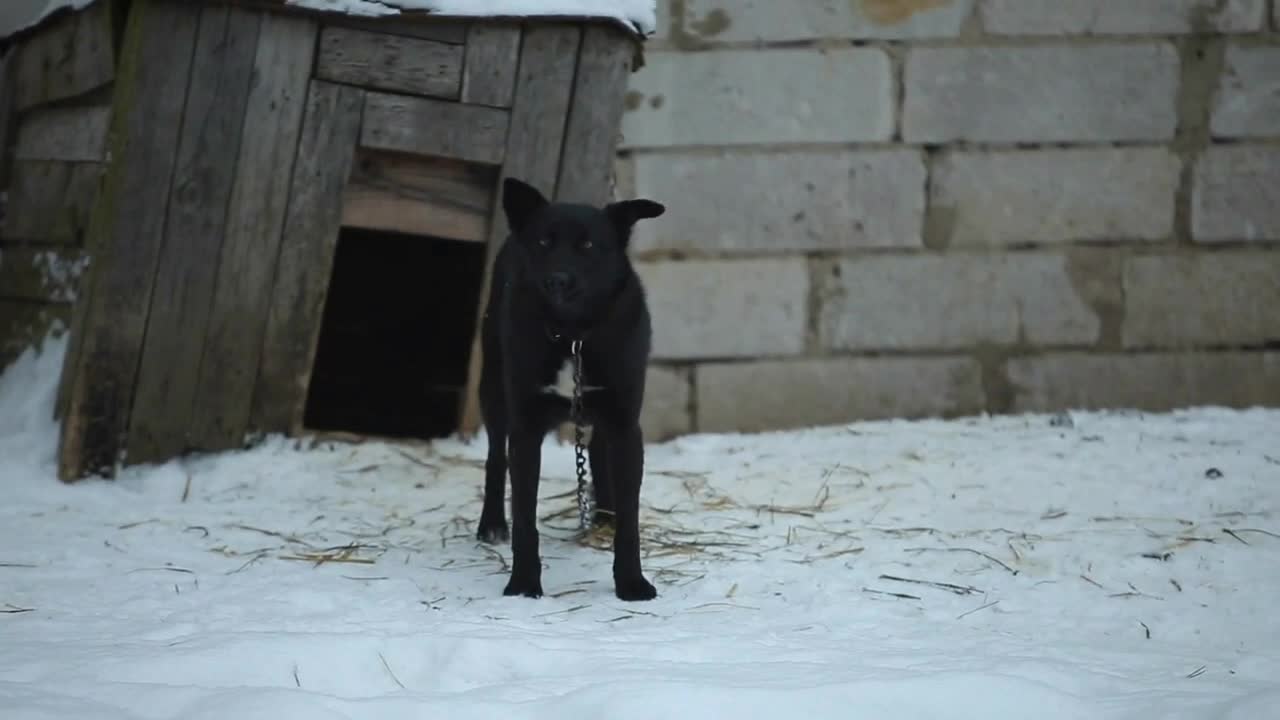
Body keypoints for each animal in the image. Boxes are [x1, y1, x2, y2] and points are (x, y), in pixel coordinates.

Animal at [476, 175, 665, 599]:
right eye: (545, 242)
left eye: (589, 245)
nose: (557, 280)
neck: (573, 336)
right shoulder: (525, 428)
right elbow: (524, 518)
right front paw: (523, 584)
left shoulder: (626, 425)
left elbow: (630, 518)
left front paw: (631, 582)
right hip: (494, 390)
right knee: (495, 458)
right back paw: (492, 523)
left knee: (597, 454)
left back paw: (603, 516)